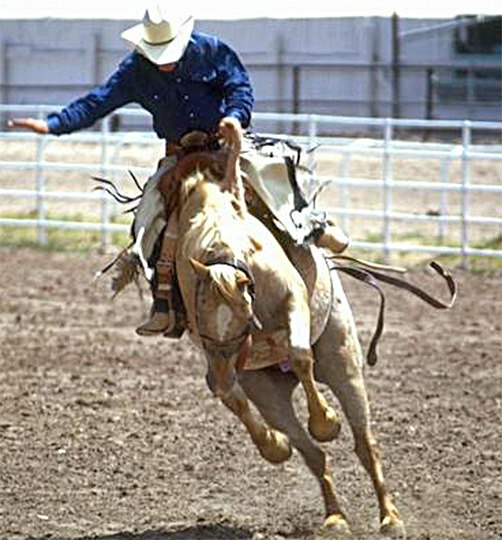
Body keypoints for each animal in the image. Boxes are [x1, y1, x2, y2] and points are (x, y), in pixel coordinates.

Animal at [157, 124, 408, 536]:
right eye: (204, 328)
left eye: (244, 320)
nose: (225, 366)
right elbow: (231, 396)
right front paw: (275, 446)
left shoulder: (294, 302)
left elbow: (300, 353)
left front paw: (326, 421)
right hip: (268, 391)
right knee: (312, 453)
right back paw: (334, 516)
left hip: (343, 363)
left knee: (364, 443)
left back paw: (390, 517)